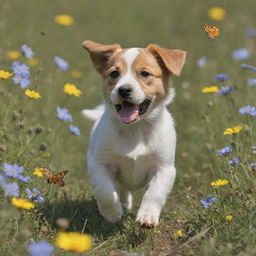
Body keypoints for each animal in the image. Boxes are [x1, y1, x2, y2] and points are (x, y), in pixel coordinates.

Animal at [82, 40, 186, 228]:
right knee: (121, 189)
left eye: (145, 73)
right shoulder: (99, 163)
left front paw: (147, 216)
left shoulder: (164, 168)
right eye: (114, 73)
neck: (135, 129)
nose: (123, 90)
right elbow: (105, 191)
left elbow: (155, 193)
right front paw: (112, 214)